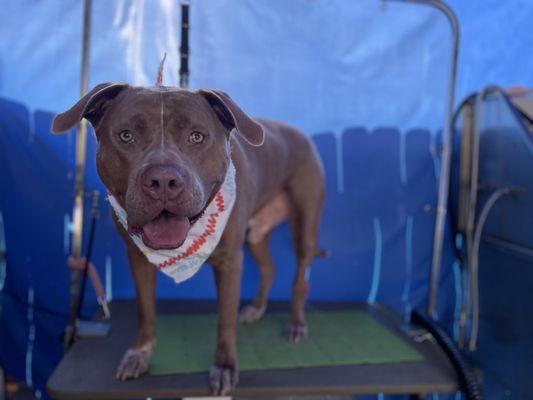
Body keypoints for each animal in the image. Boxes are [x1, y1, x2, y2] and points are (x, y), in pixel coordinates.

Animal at [52, 83, 324, 396]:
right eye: (126, 135)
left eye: (197, 136)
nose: (162, 181)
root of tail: (298, 132)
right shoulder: (137, 258)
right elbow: (145, 309)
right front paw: (140, 353)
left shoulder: (230, 261)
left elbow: (225, 318)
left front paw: (224, 366)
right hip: (254, 234)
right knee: (269, 268)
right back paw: (256, 308)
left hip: (305, 224)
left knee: (300, 278)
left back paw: (296, 324)